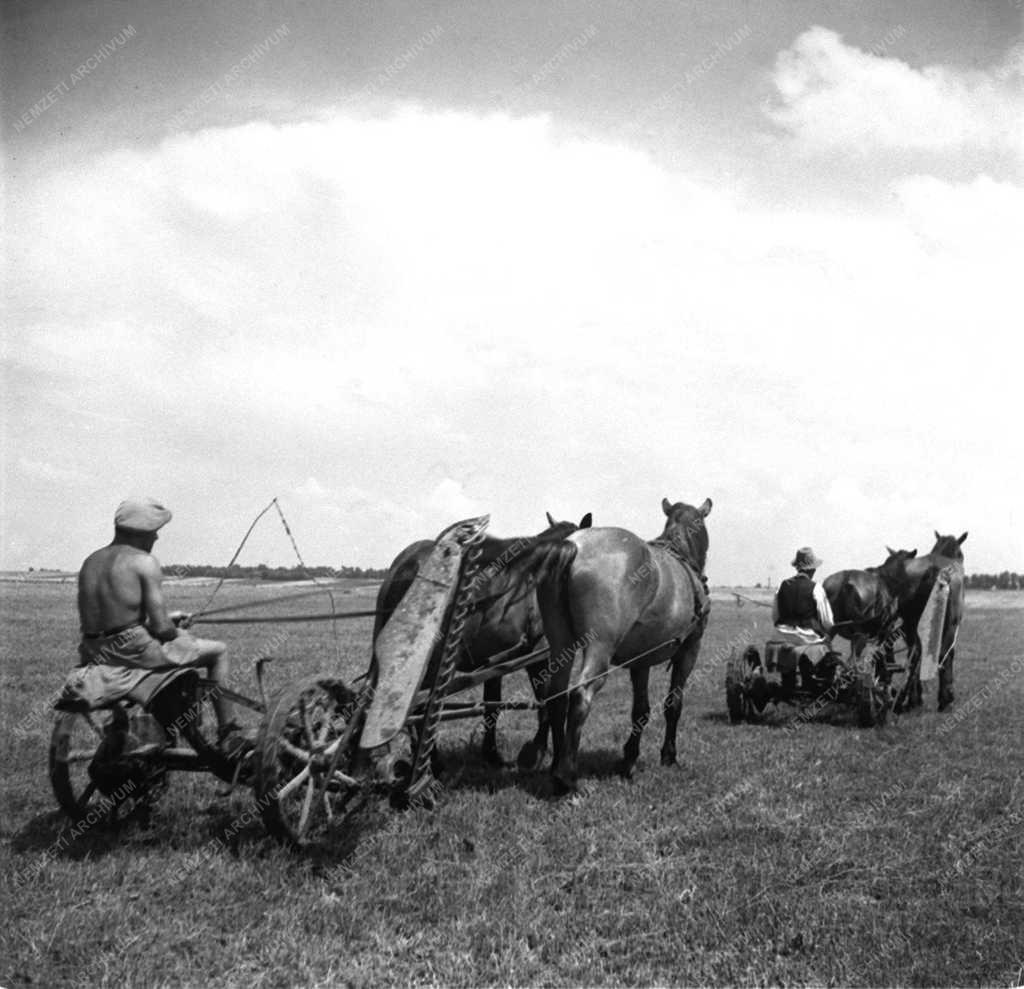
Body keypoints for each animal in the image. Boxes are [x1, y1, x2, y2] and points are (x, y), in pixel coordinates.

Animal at [372, 511, 593, 765]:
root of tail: (406, 565)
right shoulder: (541, 653)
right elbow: (550, 701)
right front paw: (541, 752)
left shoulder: (496, 661)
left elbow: (492, 704)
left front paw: (492, 753)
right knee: (422, 709)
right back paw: (432, 762)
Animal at [524, 499, 708, 794]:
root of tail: (574, 546)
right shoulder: (690, 649)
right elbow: (673, 705)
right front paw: (669, 756)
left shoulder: (641, 660)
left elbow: (640, 710)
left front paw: (629, 758)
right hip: (599, 648)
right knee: (581, 694)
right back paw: (567, 776)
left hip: (561, 643)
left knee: (557, 696)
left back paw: (556, 766)